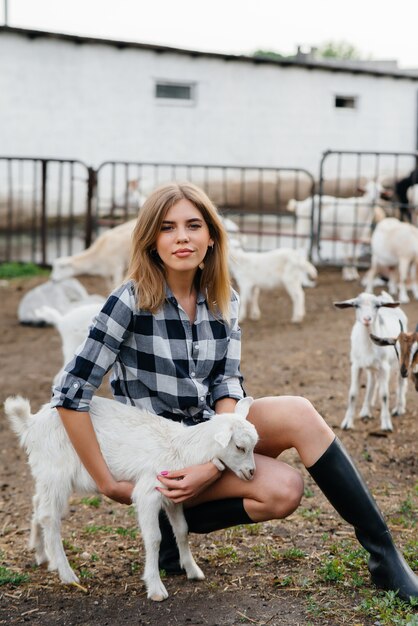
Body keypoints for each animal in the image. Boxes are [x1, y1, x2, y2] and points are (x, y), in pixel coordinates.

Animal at [4, 392, 258, 604]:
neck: (181, 448)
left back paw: (42, 555)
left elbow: (182, 530)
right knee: (49, 517)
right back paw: (67, 574)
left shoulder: (174, 493)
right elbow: (154, 538)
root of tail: (31, 423)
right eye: (239, 447)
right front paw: (155, 588)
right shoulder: (148, 493)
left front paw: (193, 570)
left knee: (38, 504)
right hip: (56, 471)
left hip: (46, 474)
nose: (252, 473)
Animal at [334, 292, 408, 428]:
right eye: (356, 305)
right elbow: (353, 393)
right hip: (372, 367)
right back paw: (365, 410)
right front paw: (347, 422)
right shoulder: (356, 365)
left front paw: (386, 424)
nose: (367, 319)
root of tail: (386, 298)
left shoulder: (384, 367)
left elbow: (384, 395)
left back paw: (399, 409)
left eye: (377, 306)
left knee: (400, 382)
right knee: (372, 382)